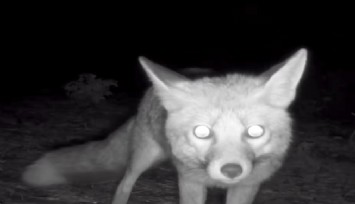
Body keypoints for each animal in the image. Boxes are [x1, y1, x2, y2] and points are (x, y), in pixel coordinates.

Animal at [21, 48, 308, 204]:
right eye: (202, 132)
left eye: (255, 131)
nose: (231, 170)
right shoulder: (189, 181)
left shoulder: (247, 186)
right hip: (142, 158)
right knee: (124, 184)